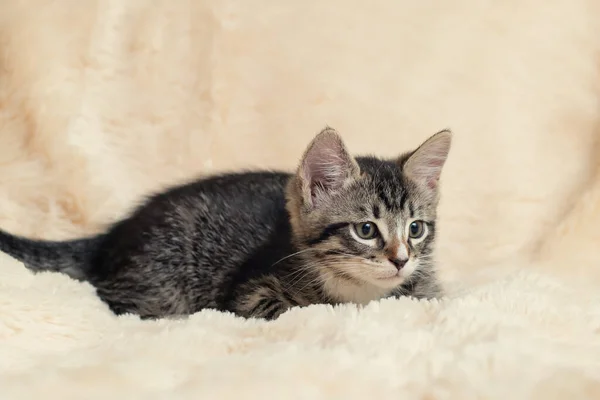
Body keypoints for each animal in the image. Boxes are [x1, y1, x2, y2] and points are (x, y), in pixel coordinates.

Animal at [0, 128, 450, 322]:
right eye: (366, 230)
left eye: (415, 229)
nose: (401, 260)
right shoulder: (249, 291)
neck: (361, 289)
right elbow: (295, 307)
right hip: (163, 276)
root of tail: (114, 235)